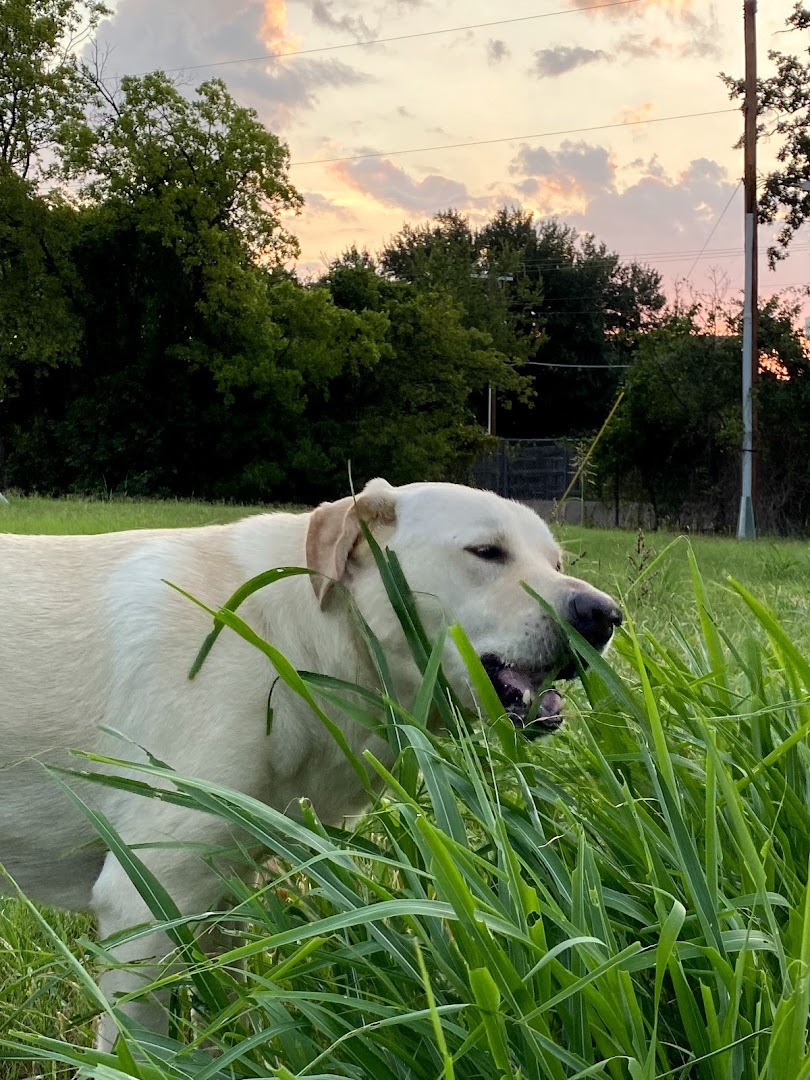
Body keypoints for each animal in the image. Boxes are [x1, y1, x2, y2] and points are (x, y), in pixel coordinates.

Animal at [1, 477, 622, 1041]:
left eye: (556, 560)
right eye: (487, 552)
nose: (603, 615)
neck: (286, 639)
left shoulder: (223, 891)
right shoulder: (146, 899)